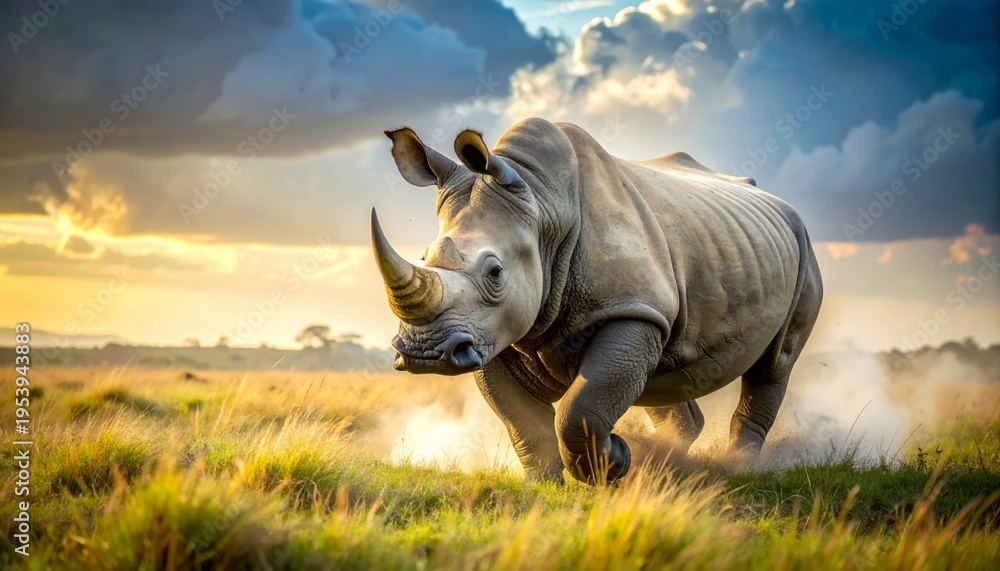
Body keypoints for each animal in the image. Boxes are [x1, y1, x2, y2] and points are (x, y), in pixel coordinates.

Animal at [370, 118, 823, 484]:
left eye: (495, 273)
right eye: (424, 258)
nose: (424, 352)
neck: (544, 207)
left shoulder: (629, 309)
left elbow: (580, 409)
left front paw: (614, 463)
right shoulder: (489, 331)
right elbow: (520, 417)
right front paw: (543, 484)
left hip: (801, 247)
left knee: (775, 363)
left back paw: (738, 468)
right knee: (663, 372)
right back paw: (669, 462)